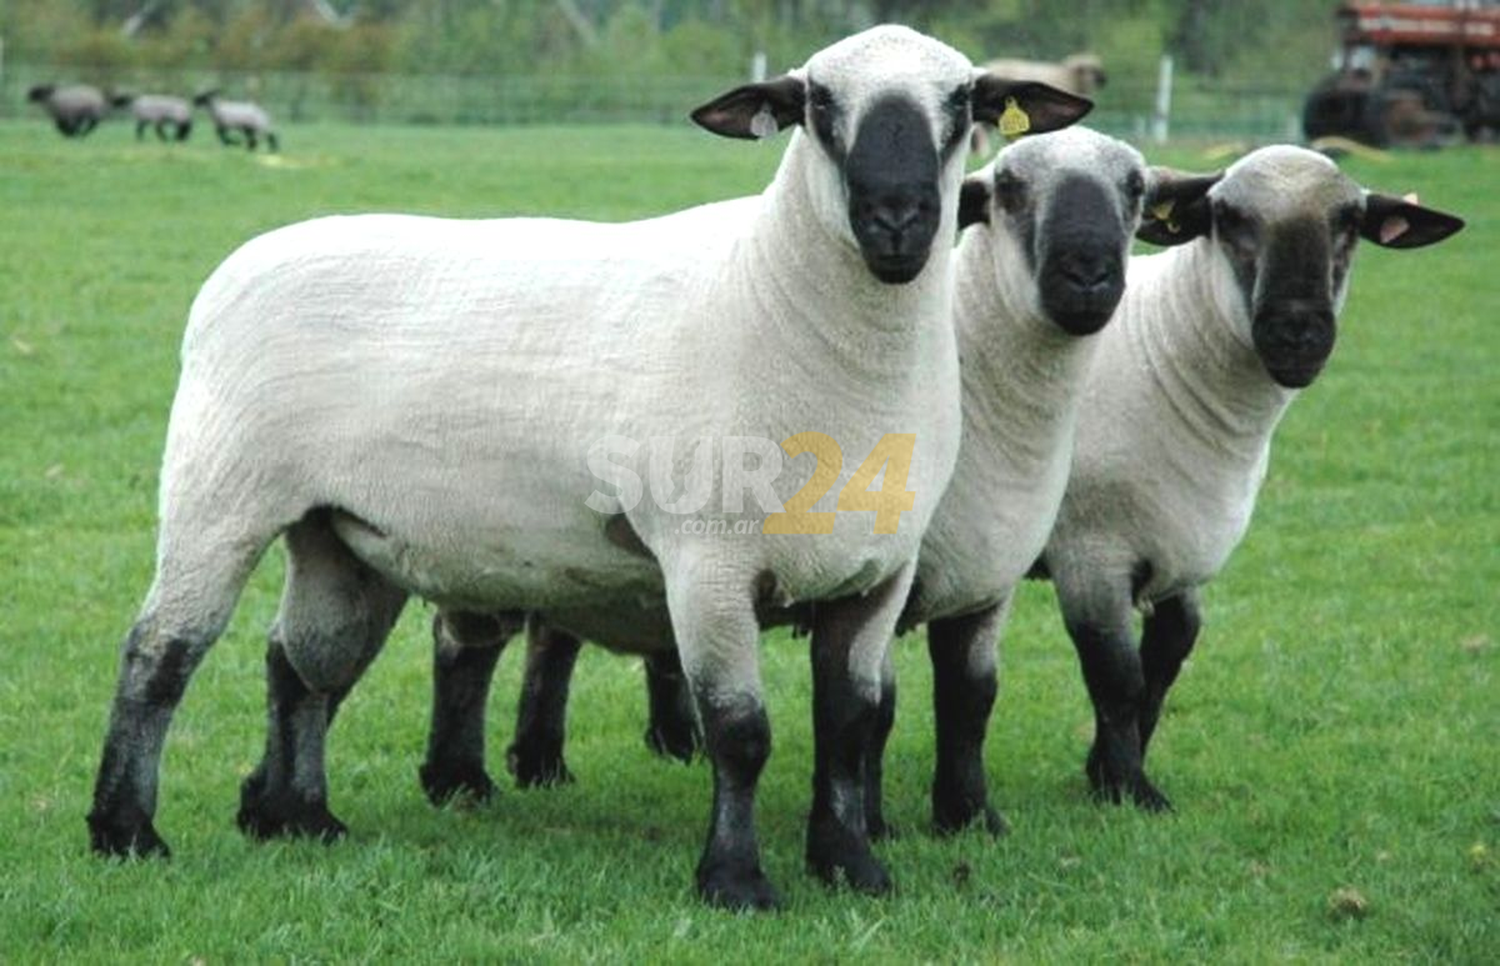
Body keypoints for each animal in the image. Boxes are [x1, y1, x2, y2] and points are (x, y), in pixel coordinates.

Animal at [82, 24, 1092, 912]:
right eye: (816, 104)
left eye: (962, 102)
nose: (897, 219)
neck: (780, 309)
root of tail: (246, 258)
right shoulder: (708, 564)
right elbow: (741, 734)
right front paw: (736, 883)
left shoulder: (877, 574)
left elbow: (848, 727)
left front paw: (853, 867)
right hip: (221, 492)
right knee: (161, 654)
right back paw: (127, 832)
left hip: (342, 536)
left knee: (304, 666)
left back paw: (300, 819)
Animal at [414, 126, 1218, 840]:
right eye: (1011, 191)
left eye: (1134, 189)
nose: (1088, 274)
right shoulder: (891, 572)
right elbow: (878, 709)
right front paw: (876, 824)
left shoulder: (986, 580)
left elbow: (971, 699)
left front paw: (970, 817)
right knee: (473, 639)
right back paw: (468, 778)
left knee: (541, 635)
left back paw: (528, 765)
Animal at [1038, 143, 1458, 810]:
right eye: (1228, 217)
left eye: (1348, 221)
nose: (1297, 331)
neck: (1168, 352)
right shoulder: (1089, 553)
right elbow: (1117, 676)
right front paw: (1131, 792)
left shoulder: (1181, 552)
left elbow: (1163, 666)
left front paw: (1104, 773)